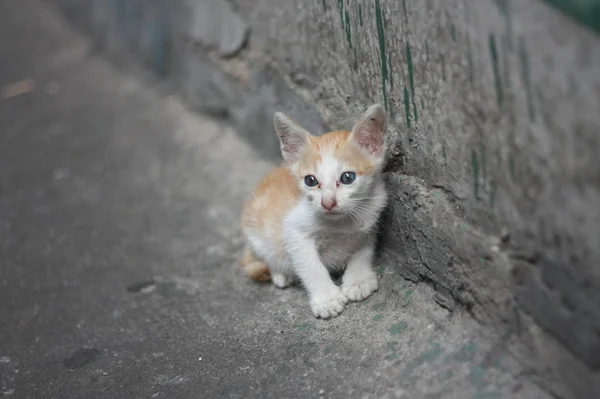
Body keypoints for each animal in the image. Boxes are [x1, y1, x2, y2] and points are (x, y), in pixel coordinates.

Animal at [240, 104, 390, 320]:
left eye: (347, 178)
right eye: (310, 181)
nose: (327, 202)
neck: (341, 223)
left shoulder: (371, 217)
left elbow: (364, 249)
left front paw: (358, 279)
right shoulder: (294, 230)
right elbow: (310, 265)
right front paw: (326, 298)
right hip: (257, 234)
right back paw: (280, 273)